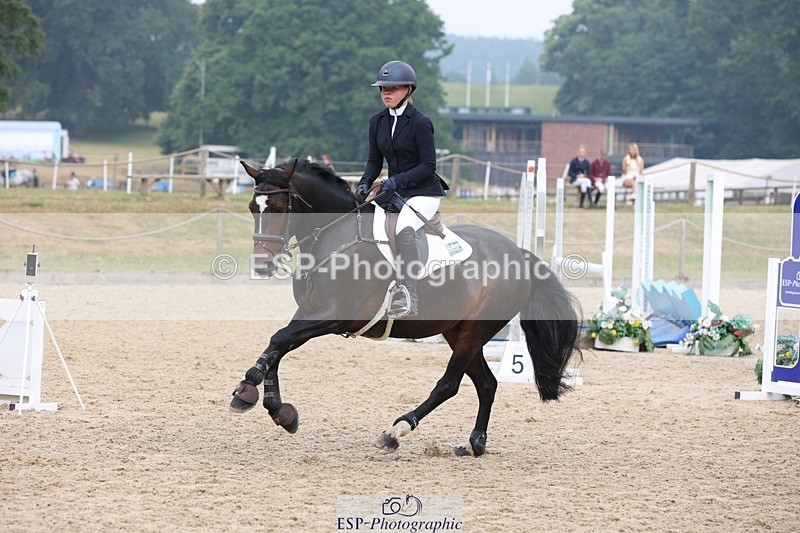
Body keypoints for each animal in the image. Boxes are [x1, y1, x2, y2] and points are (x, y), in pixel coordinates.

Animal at [230, 158, 582, 456]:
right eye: (252, 208)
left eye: (278, 208)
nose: (261, 265)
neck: (334, 236)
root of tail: (518, 253)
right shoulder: (309, 313)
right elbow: (279, 344)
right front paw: (279, 409)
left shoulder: (335, 316)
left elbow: (279, 339)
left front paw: (249, 385)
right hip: (457, 331)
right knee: (486, 383)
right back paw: (476, 443)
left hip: (475, 331)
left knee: (449, 385)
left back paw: (395, 431)